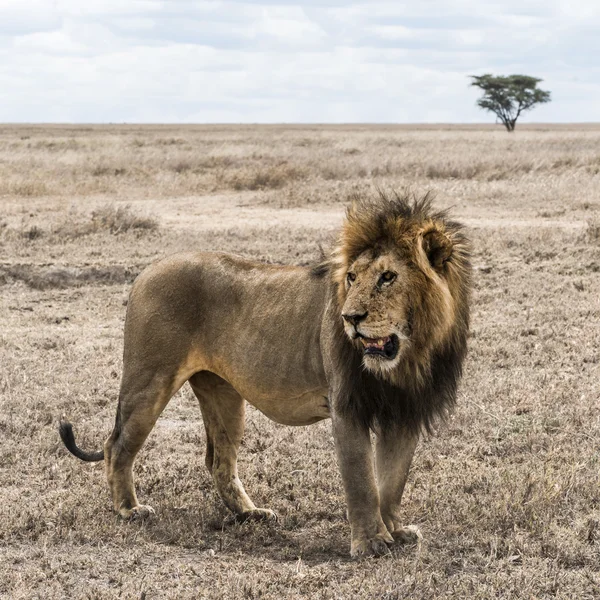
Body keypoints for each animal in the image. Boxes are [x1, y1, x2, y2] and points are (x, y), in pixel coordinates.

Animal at [61, 190, 474, 556]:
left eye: (388, 277)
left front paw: (396, 531)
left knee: (218, 461)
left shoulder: (405, 411)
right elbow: (362, 482)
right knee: (116, 445)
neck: (409, 355)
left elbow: (392, 482)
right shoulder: (347, 408)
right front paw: (371, 543)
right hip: (149, 379)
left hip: (223, 395)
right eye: (352, 278)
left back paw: (250, 513)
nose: (350, 318)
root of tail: (147, 271)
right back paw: (129, 510)